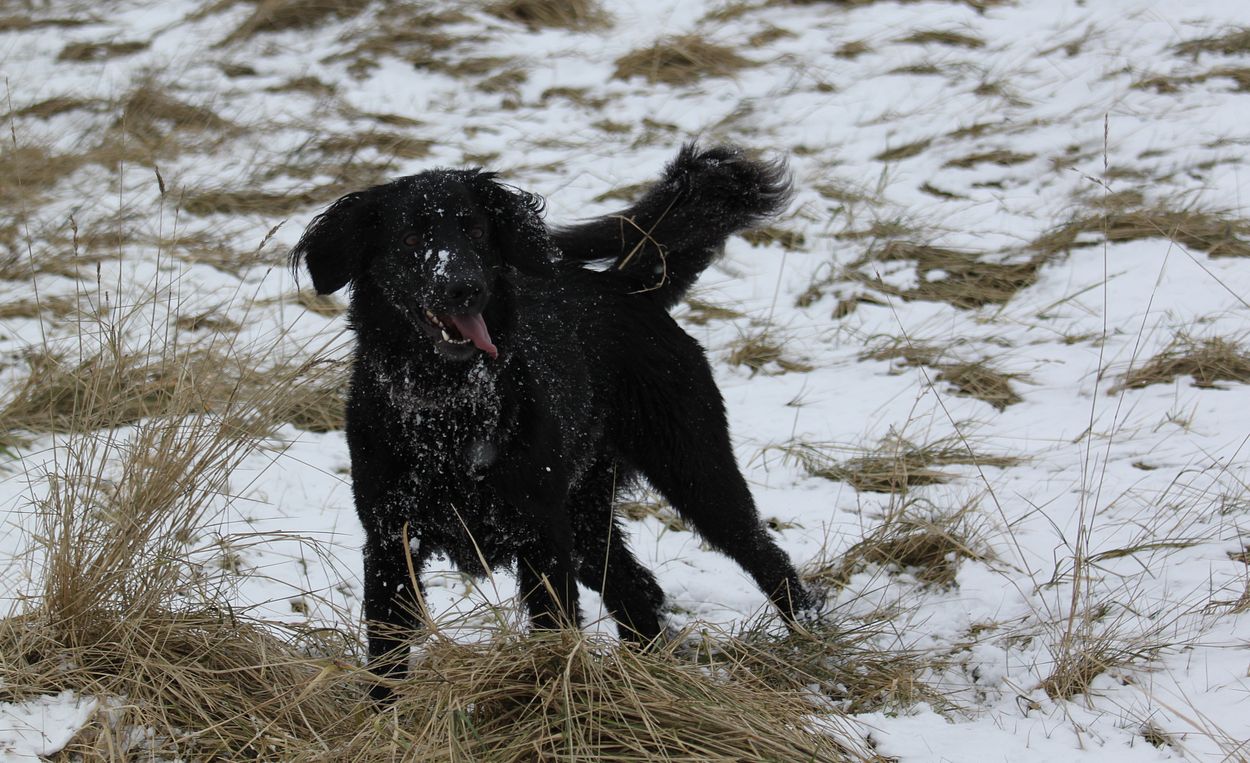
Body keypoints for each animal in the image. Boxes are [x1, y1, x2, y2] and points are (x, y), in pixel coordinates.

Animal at [289, 143, 815, 699]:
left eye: (475, 230)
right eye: (411, 239)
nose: (462, 289)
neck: (452, 411)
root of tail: (626, 285)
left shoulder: (542, 540)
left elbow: (551, 636)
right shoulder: (391, 540)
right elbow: (386, 658)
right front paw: (385, 715)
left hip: (694, 470)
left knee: (766, 556)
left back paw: (811, 641)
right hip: (586, 514)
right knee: (637, 589)